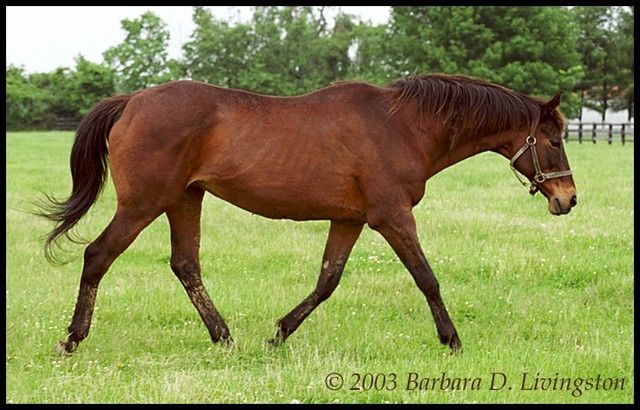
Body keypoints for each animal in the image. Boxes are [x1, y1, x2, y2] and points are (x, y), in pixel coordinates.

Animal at [40, 73, 577, 355]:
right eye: (554, 140)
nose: (568, 199)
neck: (403, 126)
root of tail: (131, 100)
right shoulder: (392, 217)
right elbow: (427, 278)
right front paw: (452, 340)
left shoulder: (351, 220)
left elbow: (327, 281)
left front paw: (279, 332)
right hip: (144, 204)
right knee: (98, 255)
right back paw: (72, 339)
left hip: (185, 199)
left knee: (185, 265)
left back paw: (224, 337)